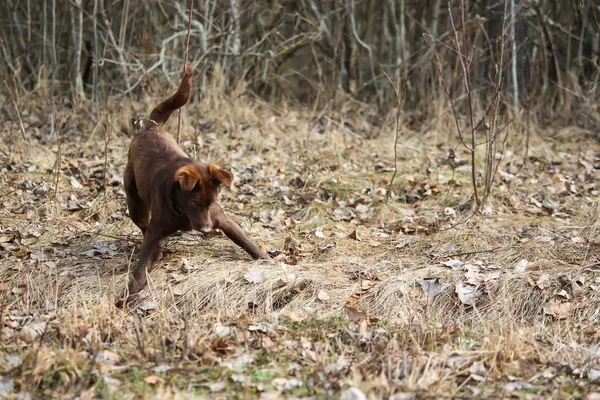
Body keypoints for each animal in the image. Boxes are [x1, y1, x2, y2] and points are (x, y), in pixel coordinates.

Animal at [118, 68, 270, 306]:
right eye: (194, 203)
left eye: (212, 202)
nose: (207, 229)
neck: (181, 211)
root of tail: (151, 127)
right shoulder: (156, 228)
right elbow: (142, 266)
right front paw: (130, 292)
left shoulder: (221, 218)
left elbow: (247, 241)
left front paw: (268, 260)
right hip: (135, 203)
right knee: (142, 225)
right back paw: (158, 252)